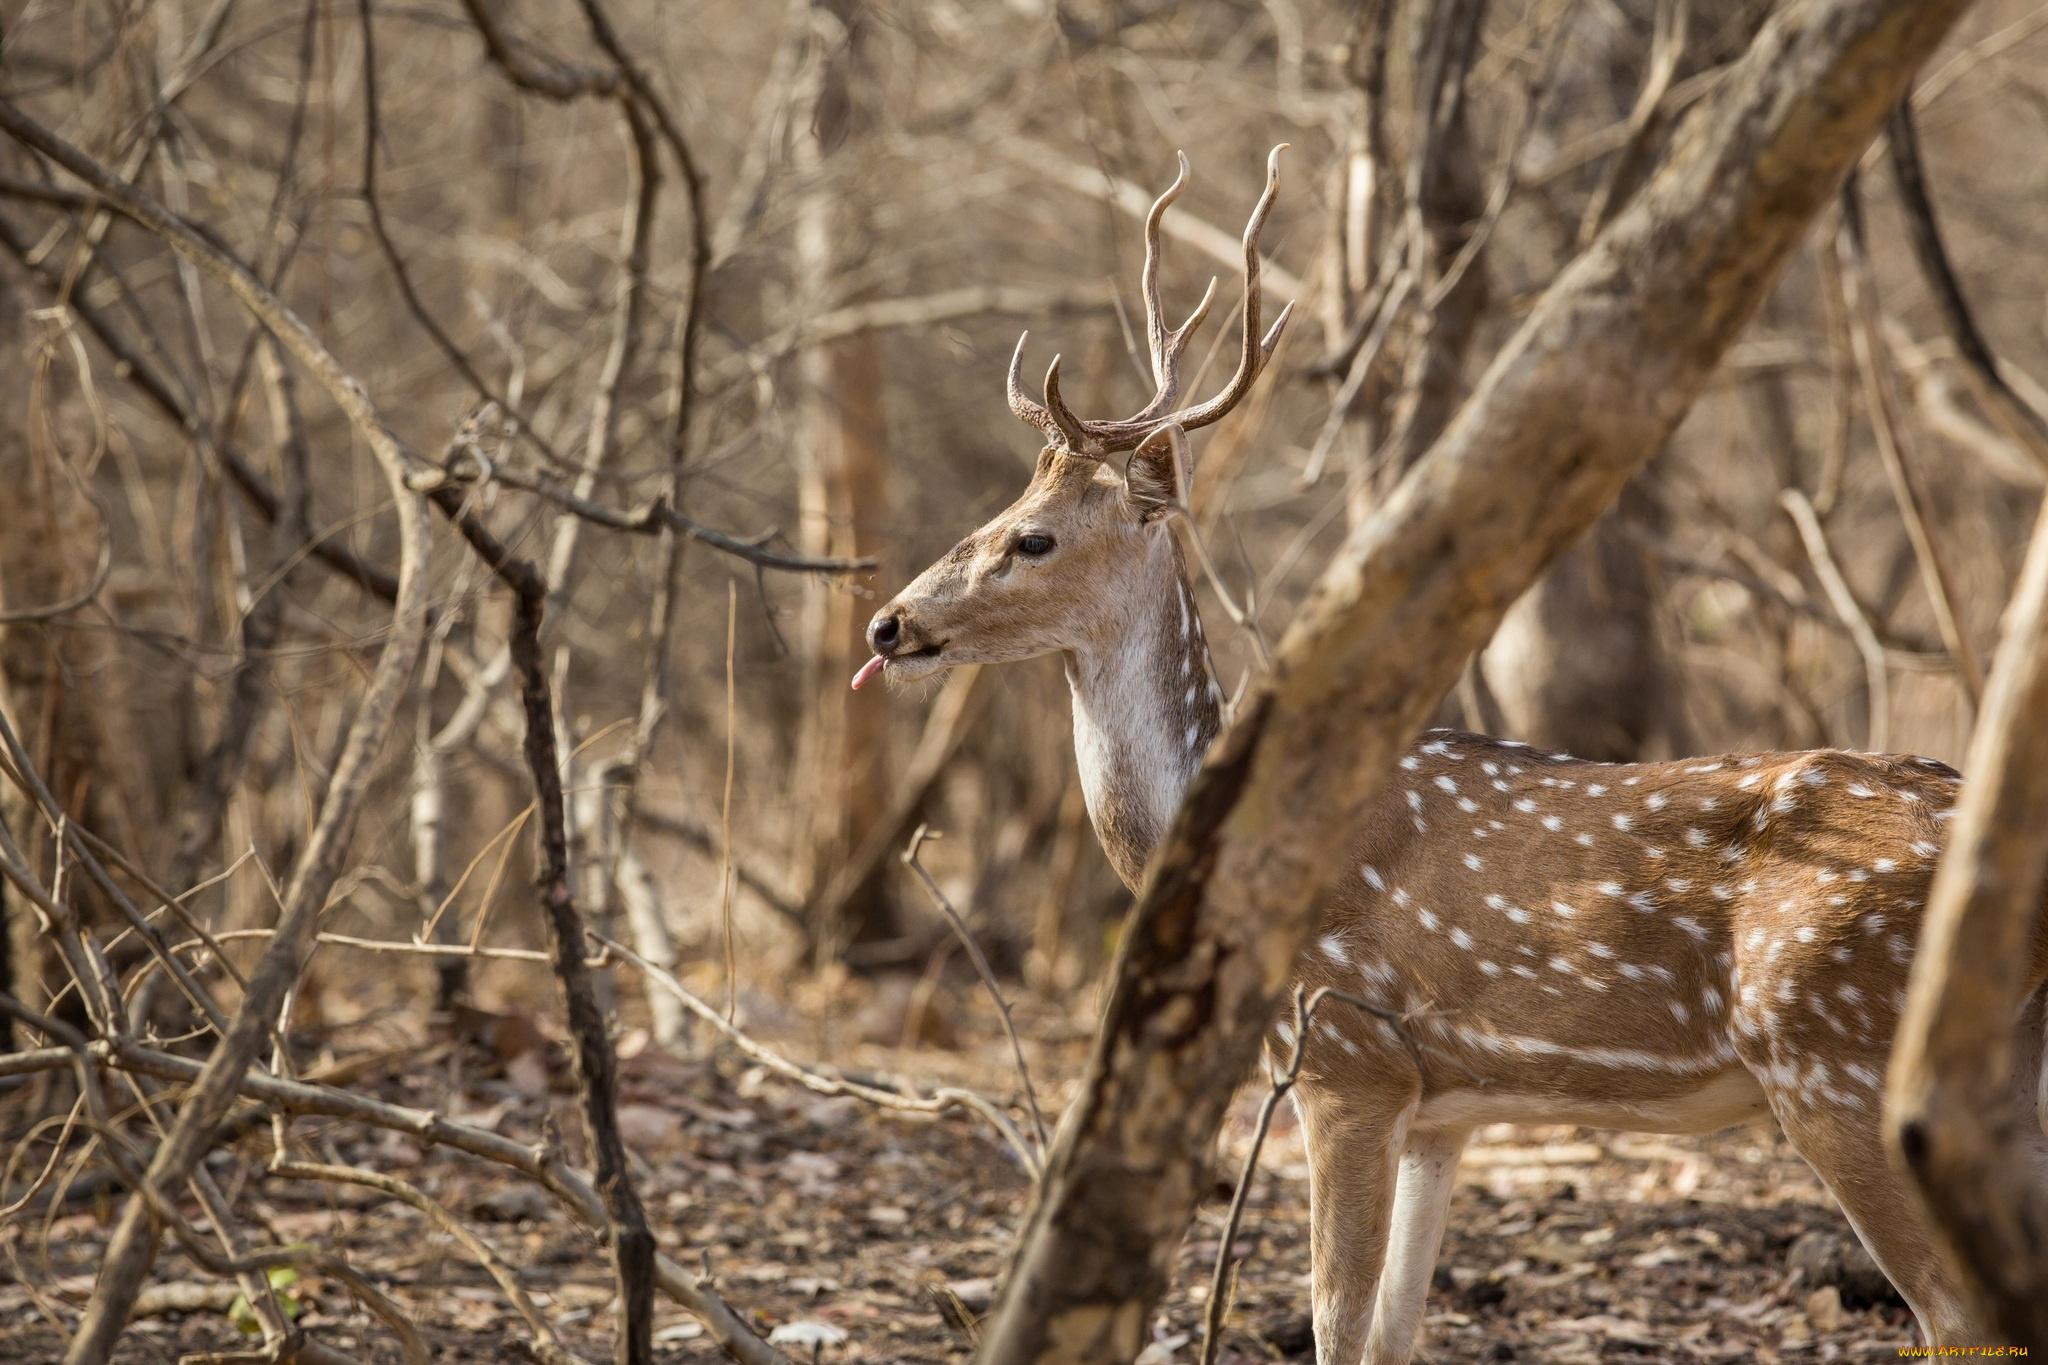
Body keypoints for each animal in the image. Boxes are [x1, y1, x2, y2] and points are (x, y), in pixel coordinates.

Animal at [847, 152, 2048, 1365]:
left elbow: (1335, 1325)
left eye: (1032, 537)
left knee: (1953, 1313)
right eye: (1004, 506)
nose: (889, 625)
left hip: (1836, 1059)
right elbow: (1392, 1331)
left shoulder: (1347, 1057)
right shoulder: (1445, 1110)